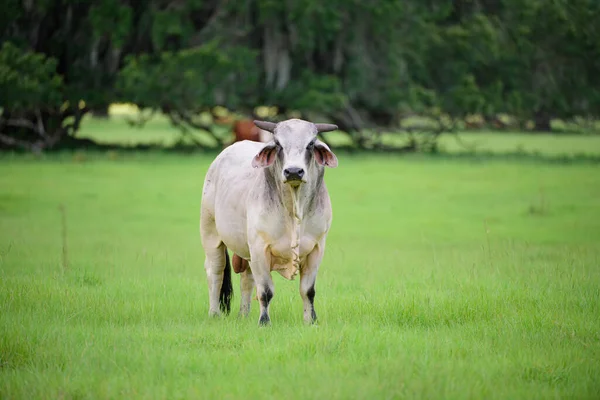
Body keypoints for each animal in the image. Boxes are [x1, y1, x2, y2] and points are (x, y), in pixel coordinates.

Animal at [200, 118, 338, 324]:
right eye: (278, 143)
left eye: (311, 144)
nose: (294, 171)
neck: (294, 208)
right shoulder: (259, 248)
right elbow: (265, 291)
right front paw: (264, 322)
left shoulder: (317, 248)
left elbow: (308, 291)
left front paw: (311, 321)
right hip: (211, 233)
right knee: (215, 272)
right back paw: (214, 313)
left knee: (247, 279)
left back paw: (243, 315)